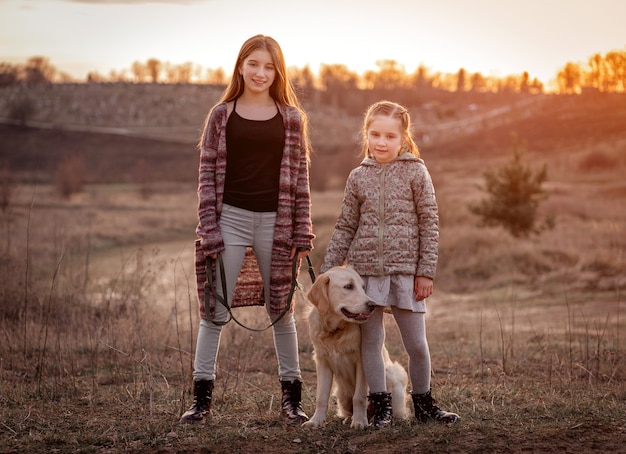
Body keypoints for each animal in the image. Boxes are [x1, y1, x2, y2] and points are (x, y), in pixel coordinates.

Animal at [300, 264, 408, 428]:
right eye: (348, 286)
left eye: (364, 288)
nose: (373, 305)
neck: (336, 329)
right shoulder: (322, 360)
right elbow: (321, 396)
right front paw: (316, 421)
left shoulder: (361, 360)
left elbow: (360, 396)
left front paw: (359, 421)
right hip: (342, 393)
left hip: (393, 373)